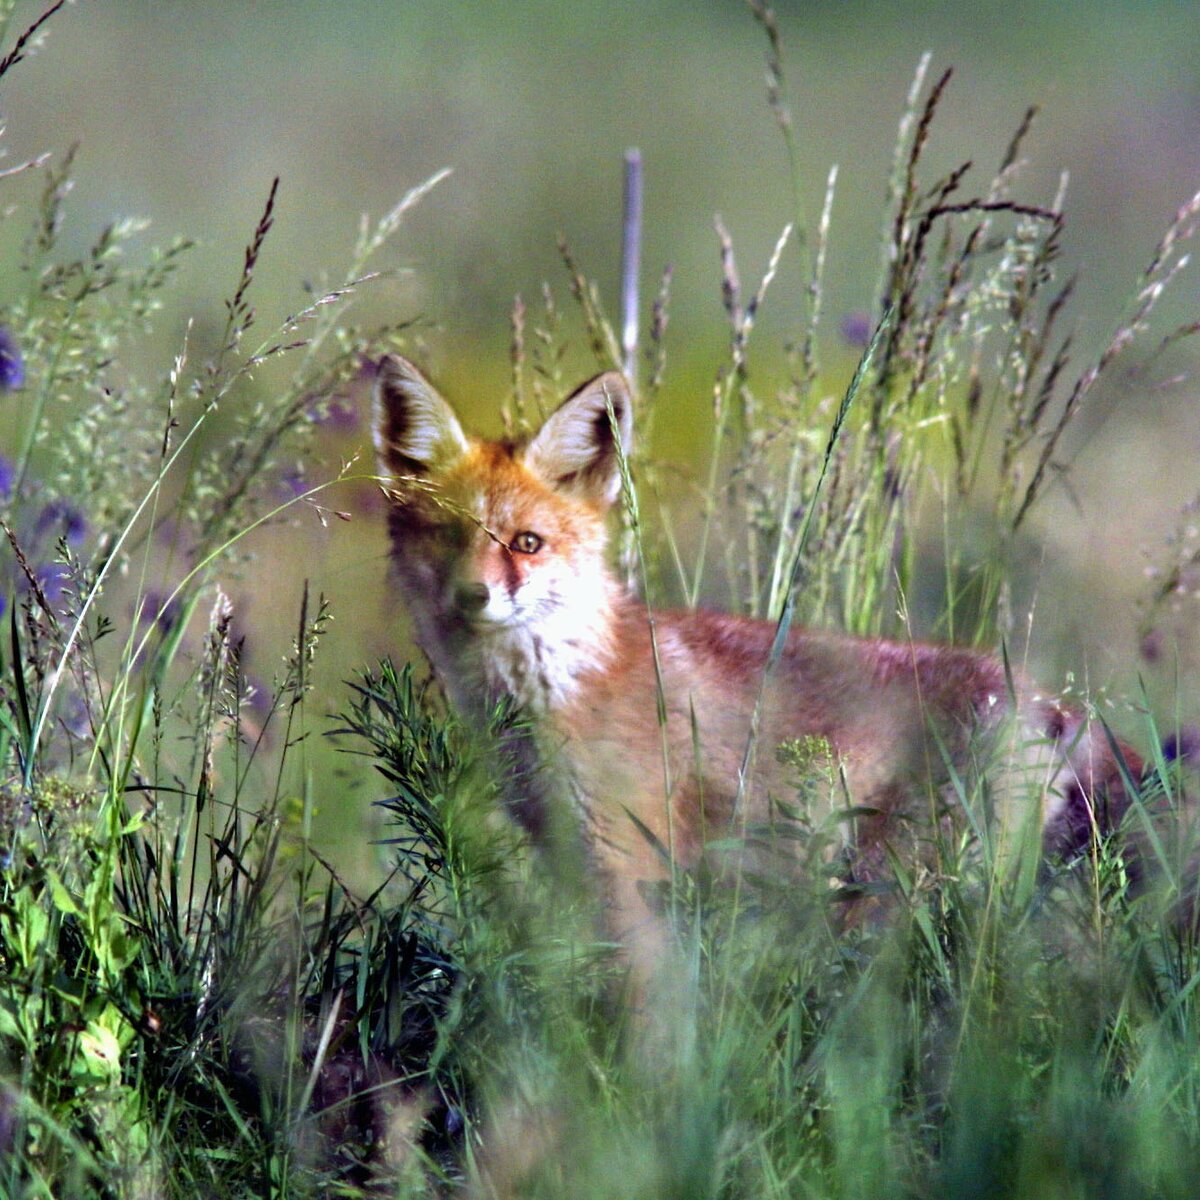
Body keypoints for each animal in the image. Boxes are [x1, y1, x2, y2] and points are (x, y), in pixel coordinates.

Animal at [372, 350, 1142, 979]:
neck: (557, 692)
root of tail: (1049, 703)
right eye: (446, 536)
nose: (474, 595)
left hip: (899, 900)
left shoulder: (630, 866)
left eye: (526, 543)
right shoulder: (570, 857)